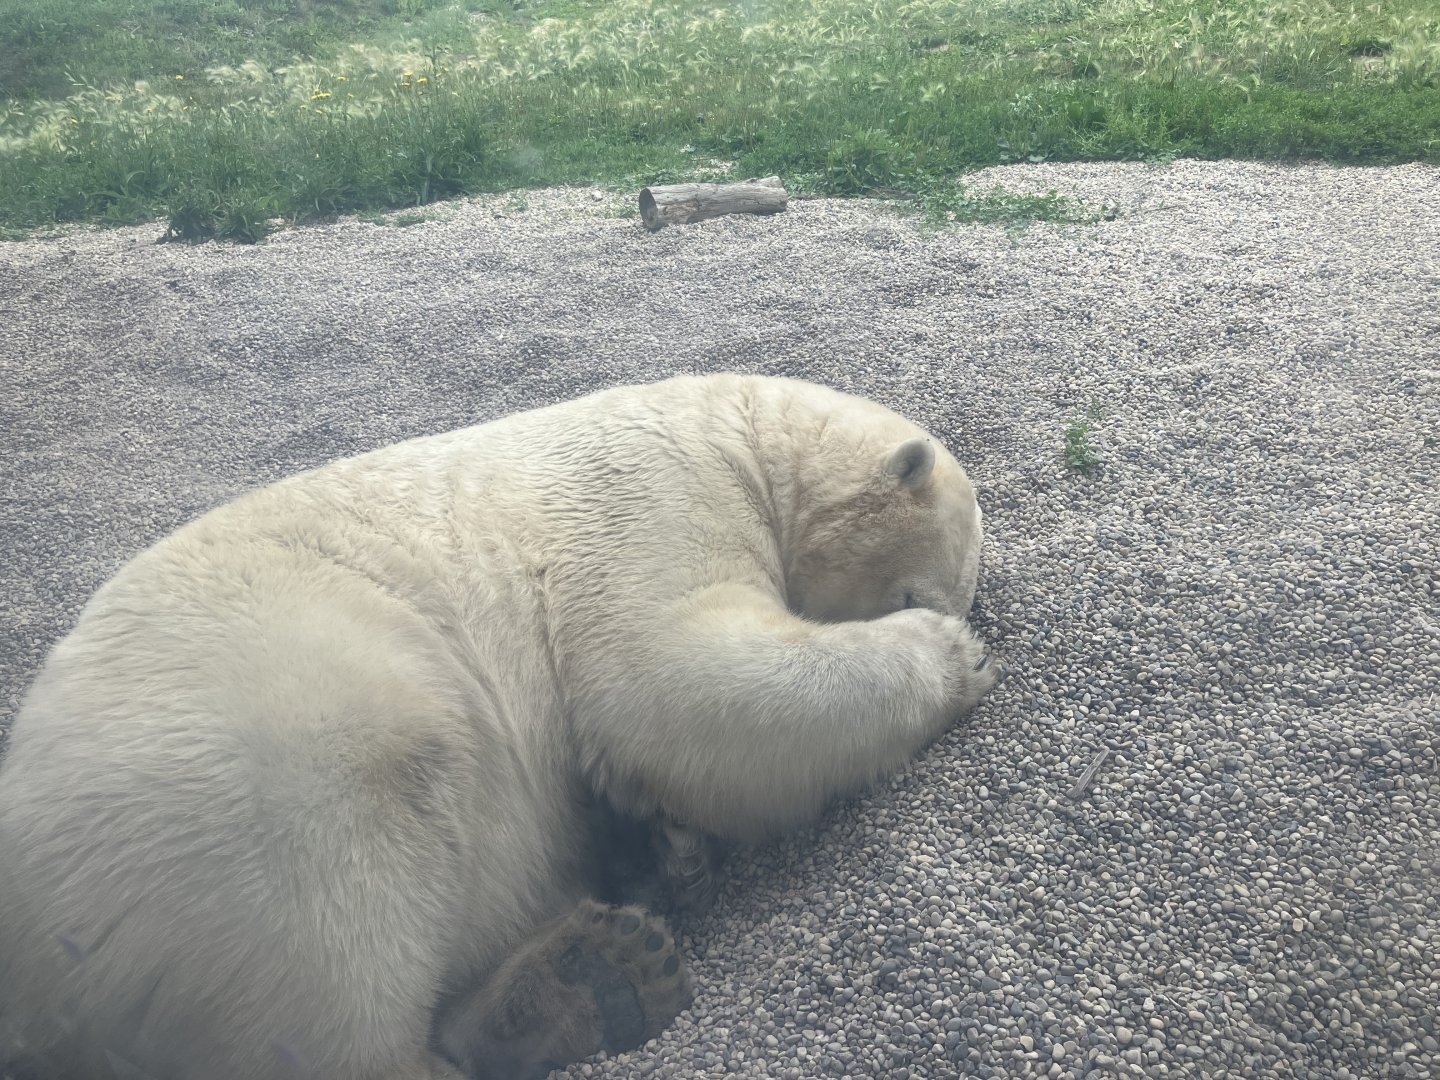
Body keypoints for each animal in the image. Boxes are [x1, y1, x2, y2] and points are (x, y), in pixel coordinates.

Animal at [0, 374, 995, 1080]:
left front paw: (667, 848)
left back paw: (596, 977)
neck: (747, 433)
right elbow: (667, 674)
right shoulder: (658, 494)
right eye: (915, 593)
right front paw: (961, 660)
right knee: (333, 962)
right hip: (257, 780)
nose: (955, 620)